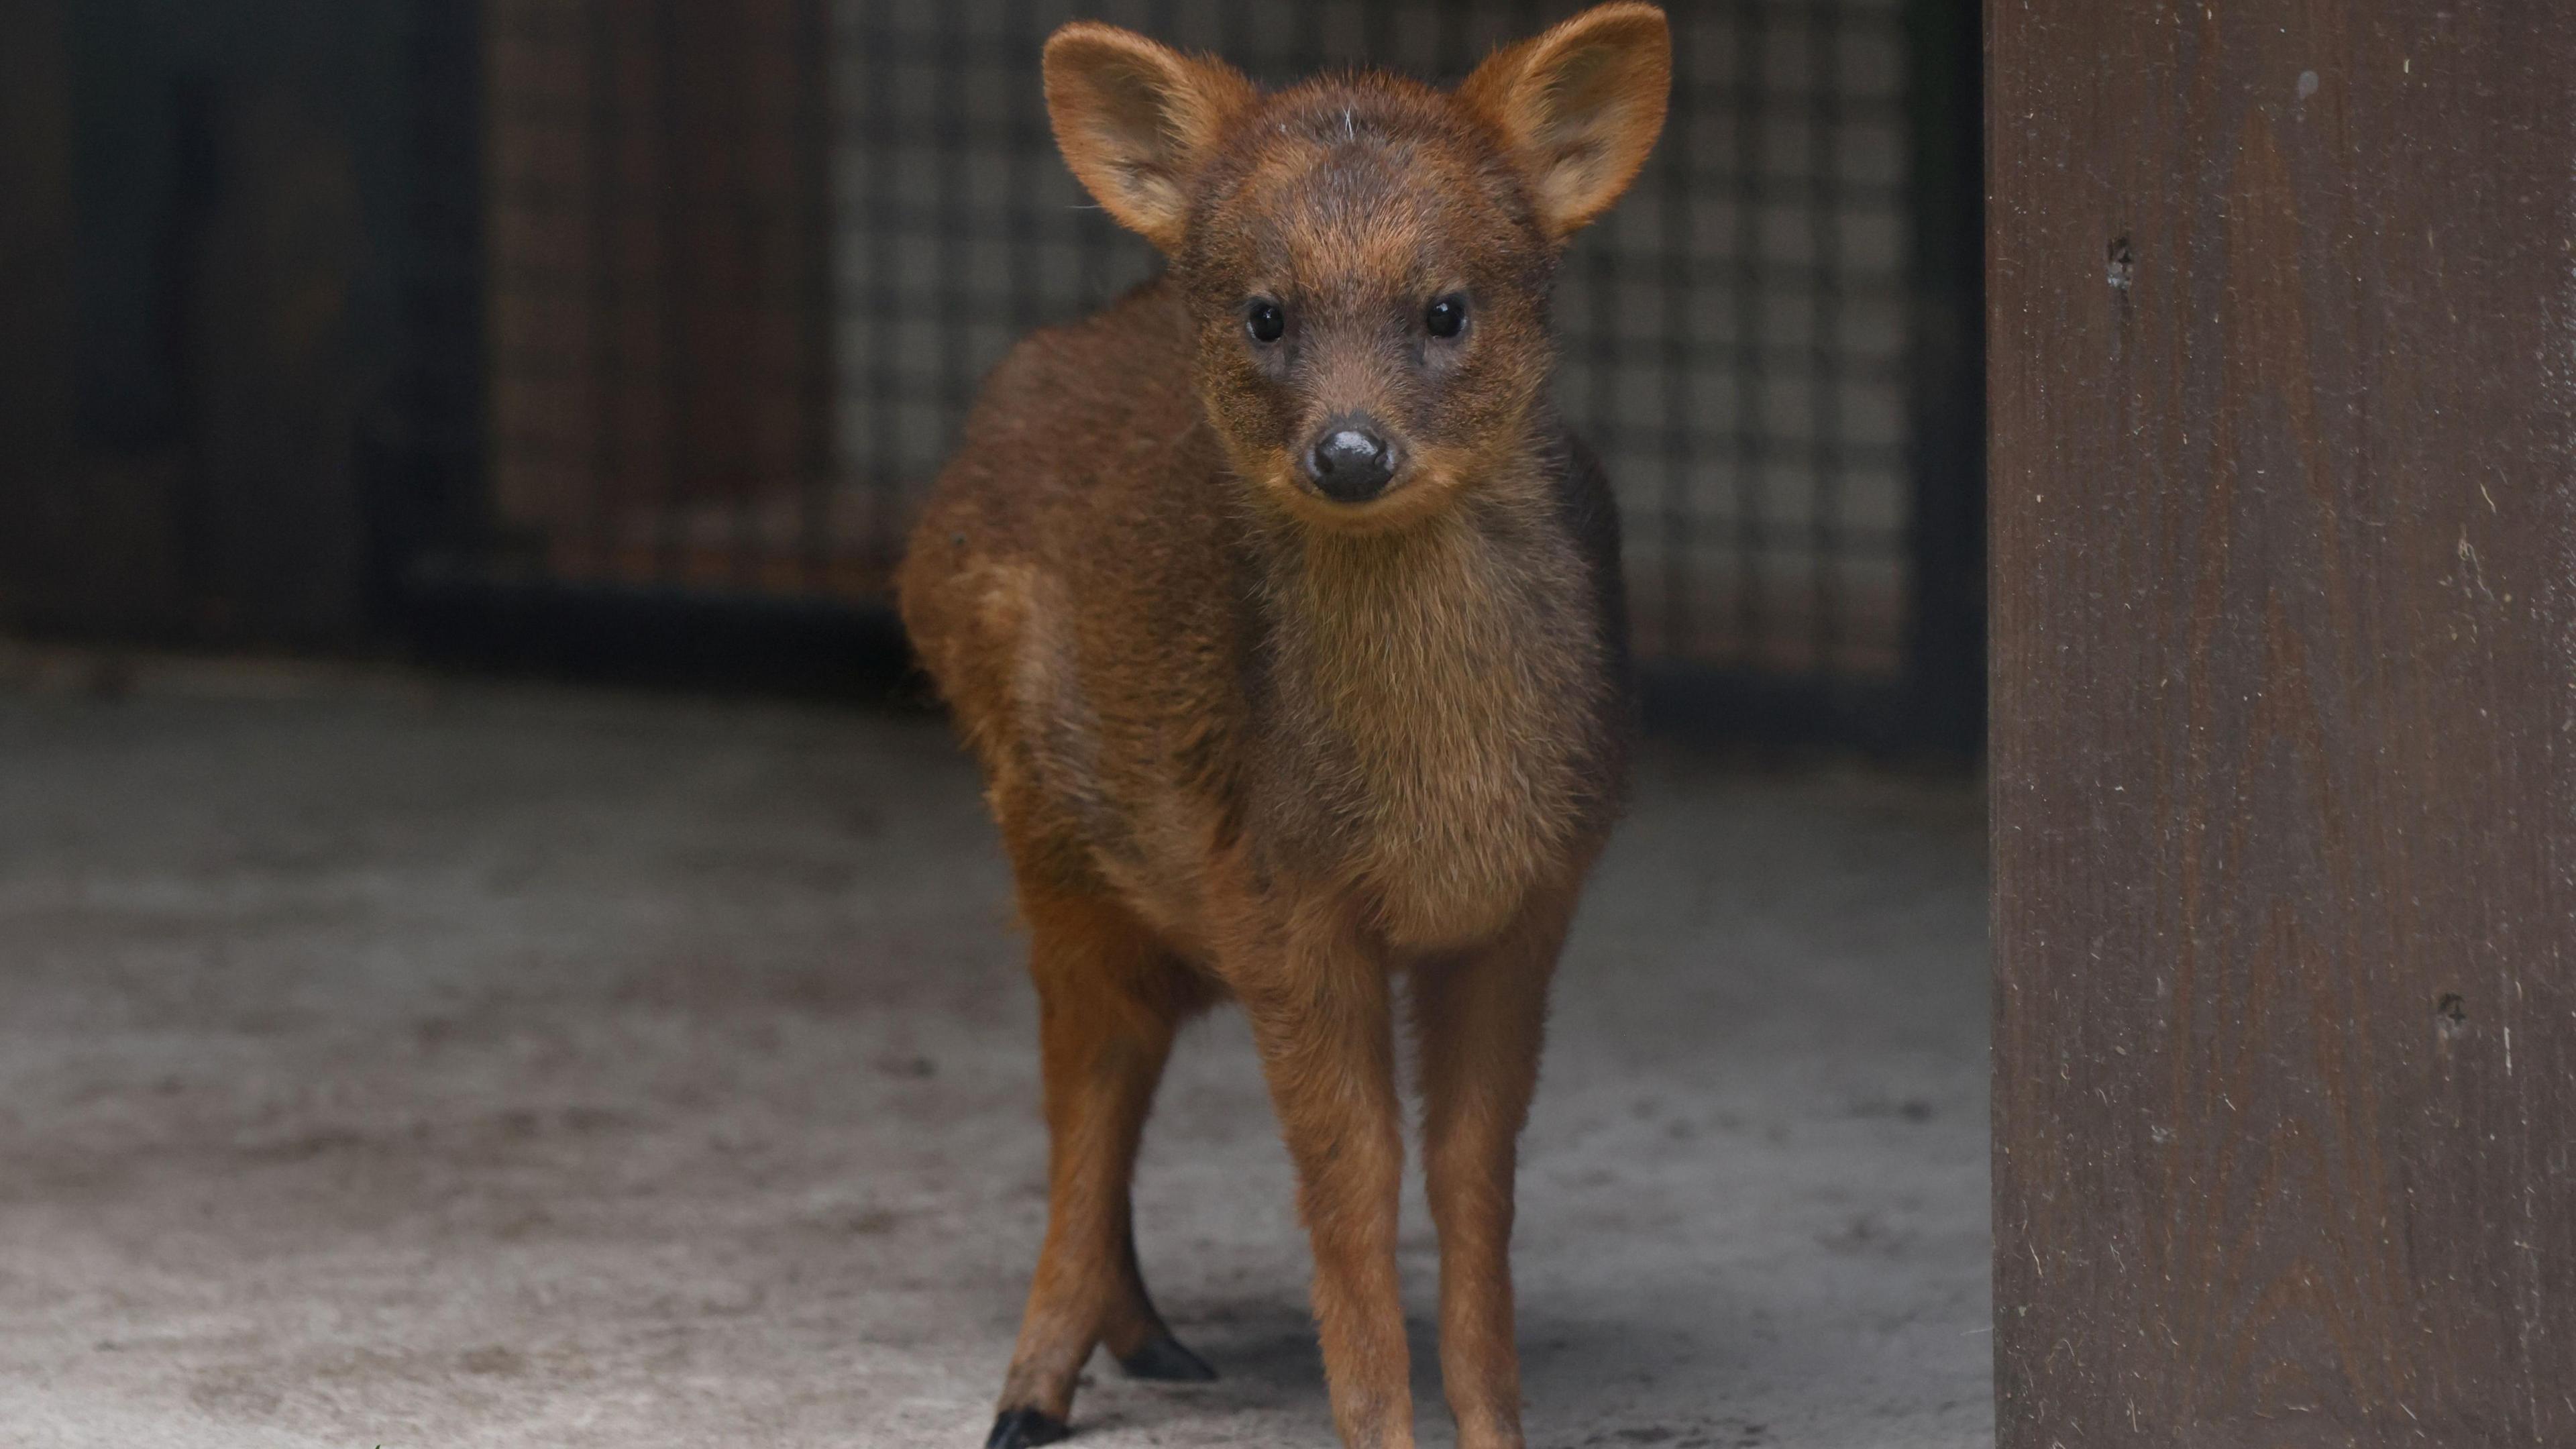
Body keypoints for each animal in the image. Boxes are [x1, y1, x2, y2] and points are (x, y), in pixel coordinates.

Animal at [902, 14, 1669, 1444]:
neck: (1440, 817)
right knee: (1088, 1084)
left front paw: (1493, 1425)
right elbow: (1350, 1176)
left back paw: (1146, 1341)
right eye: (1266, 313)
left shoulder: (1535, 899)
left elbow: (1474, 1177)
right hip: (1046, 827)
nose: (1351, 452)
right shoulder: (1277, 892)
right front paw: (1378, 1424)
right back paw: (1034, 1390)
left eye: (1447, 307)